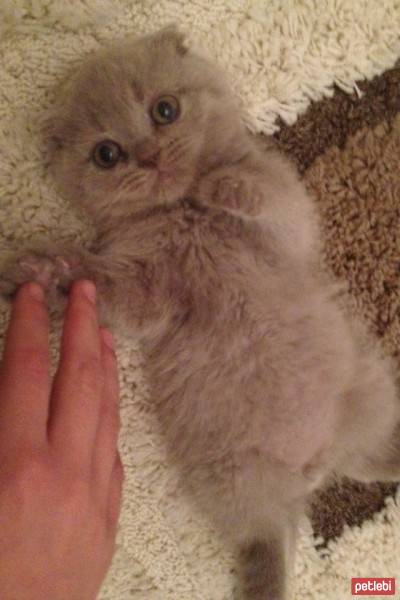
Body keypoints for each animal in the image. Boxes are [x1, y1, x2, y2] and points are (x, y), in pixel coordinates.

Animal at [0, 25, 400, 596]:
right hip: (233, 480)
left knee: (368, 459)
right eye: (107, 154)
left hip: (369, 386)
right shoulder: (145, 288)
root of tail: (314, 466)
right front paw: (46, 269)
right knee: (281, 529)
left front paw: (221, 184)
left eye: (164, 110)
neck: (182, 213)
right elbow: (115, 292)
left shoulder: (290, 221)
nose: (149, 155)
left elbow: (265, 193)